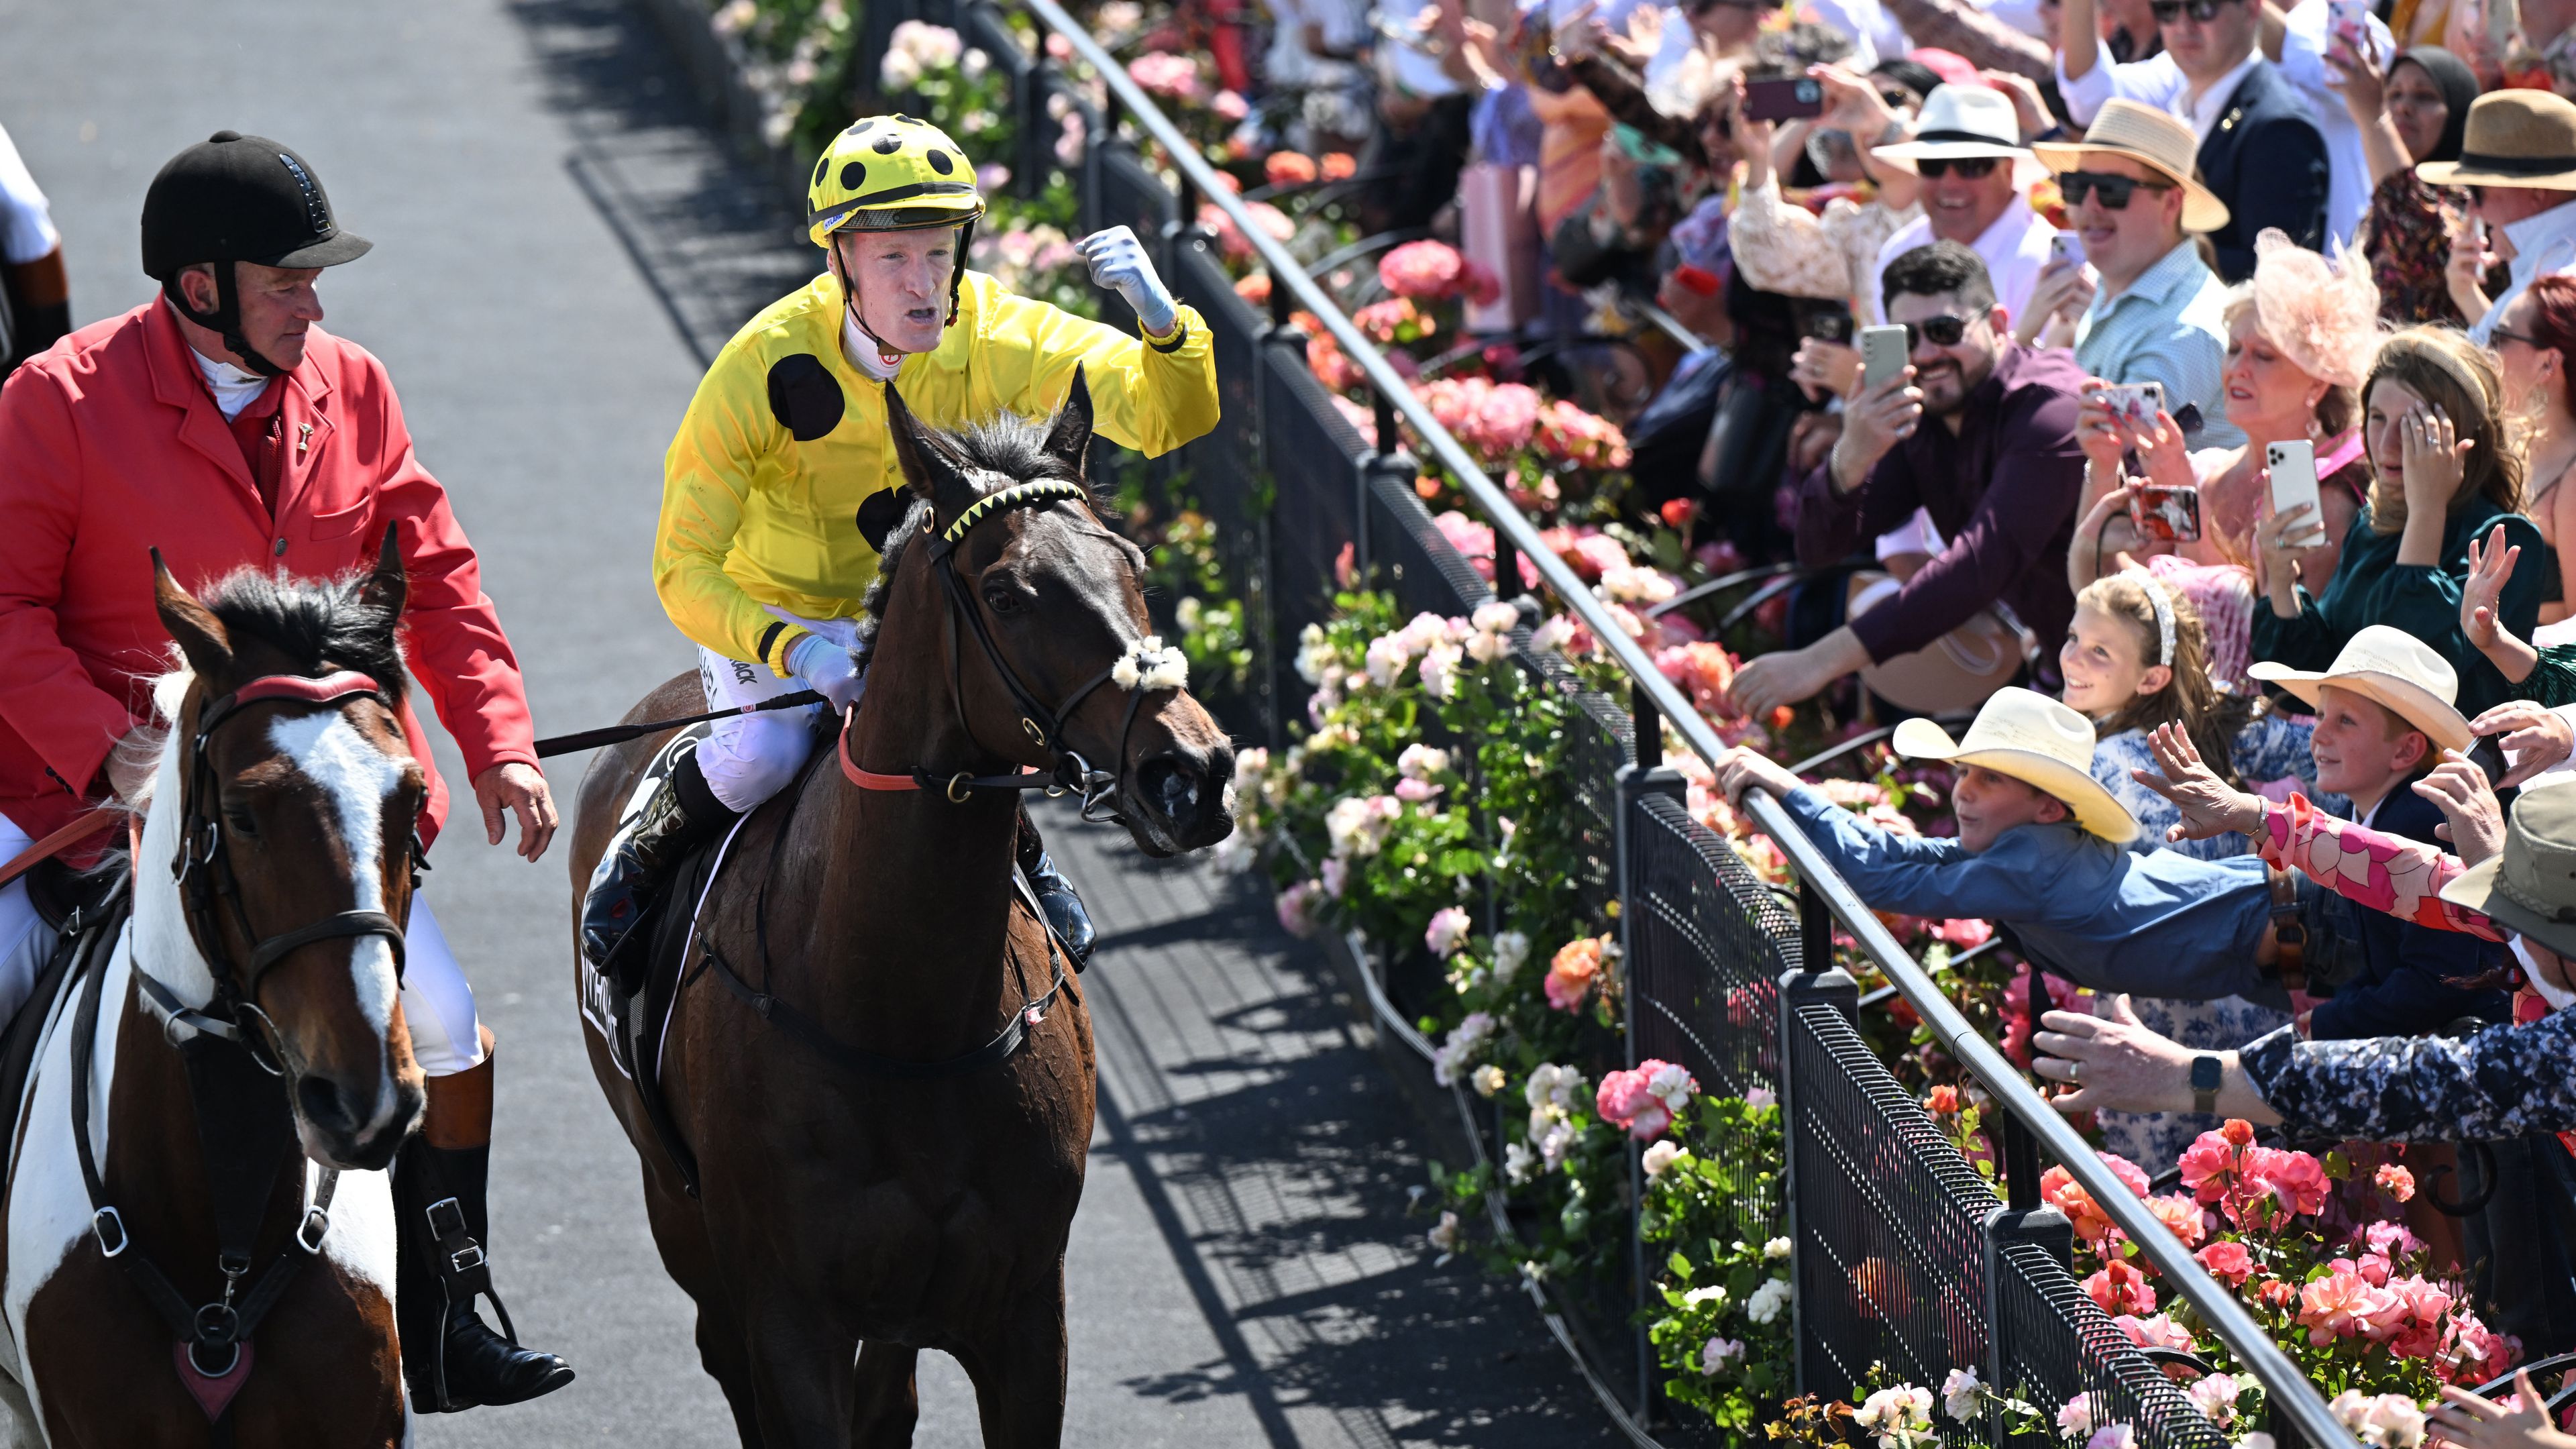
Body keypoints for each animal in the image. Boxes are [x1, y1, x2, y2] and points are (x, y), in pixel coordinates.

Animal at [577, 378, 1236, 1433]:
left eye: (1132, 565)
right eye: (1007, 592)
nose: (1193, 773)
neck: (901, 1019)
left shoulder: (1024, 1314)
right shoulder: (787, 1318)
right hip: (680, 1216)